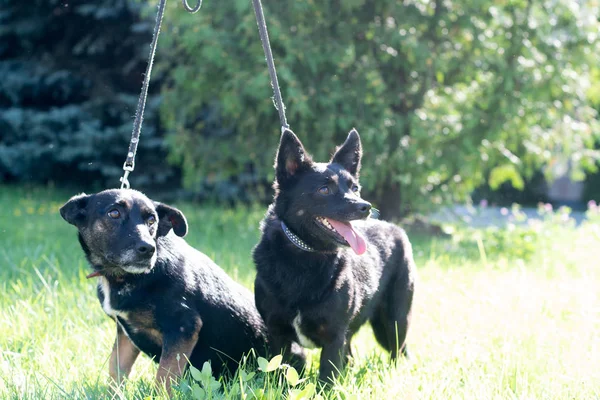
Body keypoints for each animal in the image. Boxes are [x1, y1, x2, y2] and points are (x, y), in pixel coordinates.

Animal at [61, 189, 268, 392]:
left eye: (152, 220)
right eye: (114, 213)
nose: (148, 249)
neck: (124, 277)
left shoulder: (183, 328)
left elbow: (164, 378)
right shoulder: (125, 334)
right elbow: (115, 371)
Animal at [251, 130, 414, 382]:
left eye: (354, 188)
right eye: (324, 190)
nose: (365, 207)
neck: (305, 257)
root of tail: (395, 228)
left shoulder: (334, 337)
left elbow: (326, 378)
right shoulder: (277, 333)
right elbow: (277, 371)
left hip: (394, 322)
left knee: (399, 351)